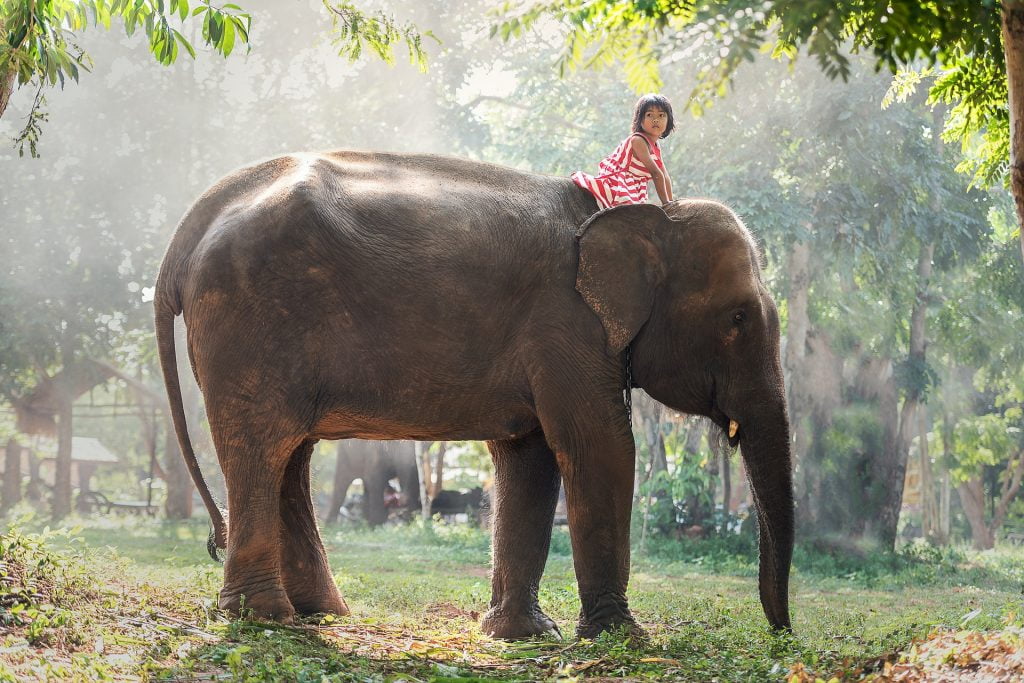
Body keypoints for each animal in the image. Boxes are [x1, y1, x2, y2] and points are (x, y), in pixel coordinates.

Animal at [155, 150, 794, 643]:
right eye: (737, 318)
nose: (781, 633)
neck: (640, 217)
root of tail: (191, 226)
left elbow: (531, 458)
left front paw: (523, 635)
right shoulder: (567, 324)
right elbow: (599, 447)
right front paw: (621, 637)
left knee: (291, 455)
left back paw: (321, 614)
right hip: (249, 323)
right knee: (261, 448)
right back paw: (264, 619)